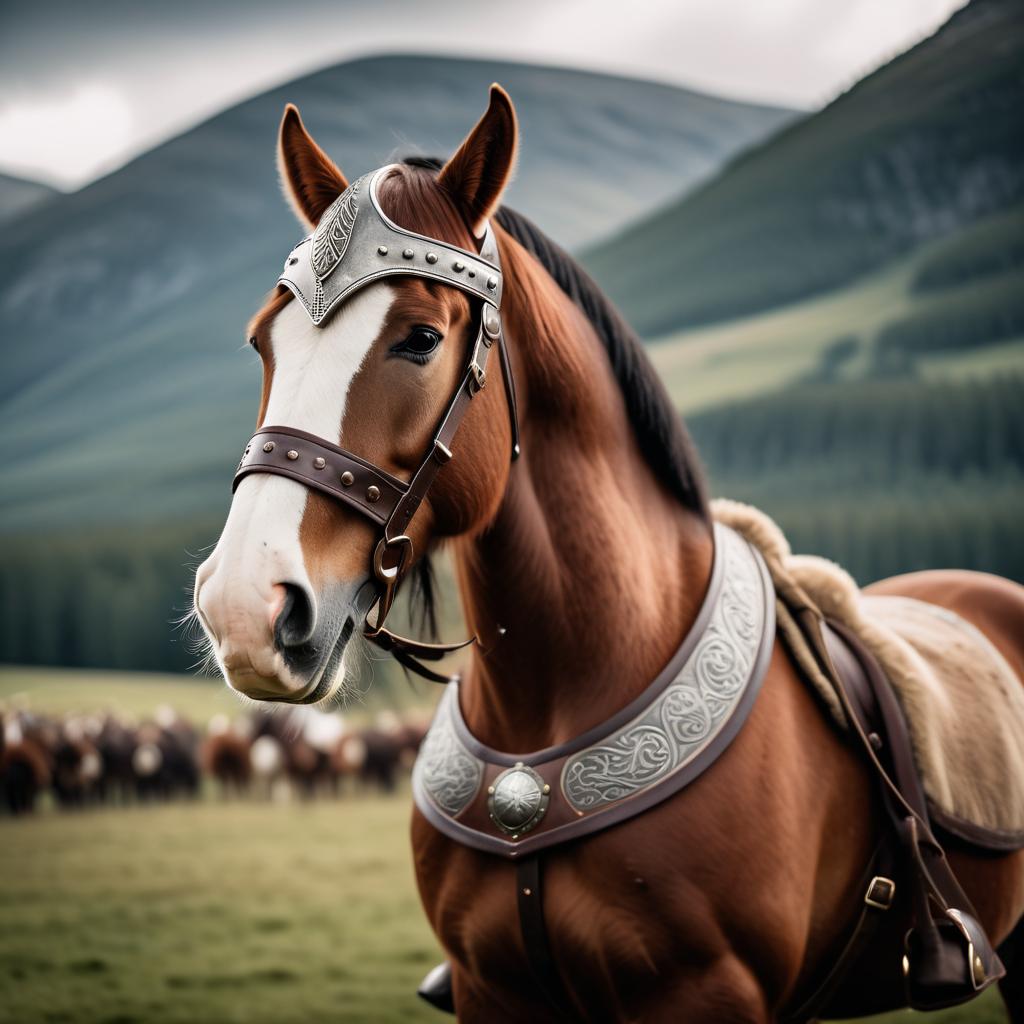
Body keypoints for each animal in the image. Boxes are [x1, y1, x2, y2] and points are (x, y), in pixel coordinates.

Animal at [192, 90, 1024, 1024]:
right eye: (265, 342)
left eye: (419, 339)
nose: (244, 608)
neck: (564, 695)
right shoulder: (491, 988)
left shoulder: (706, 994)